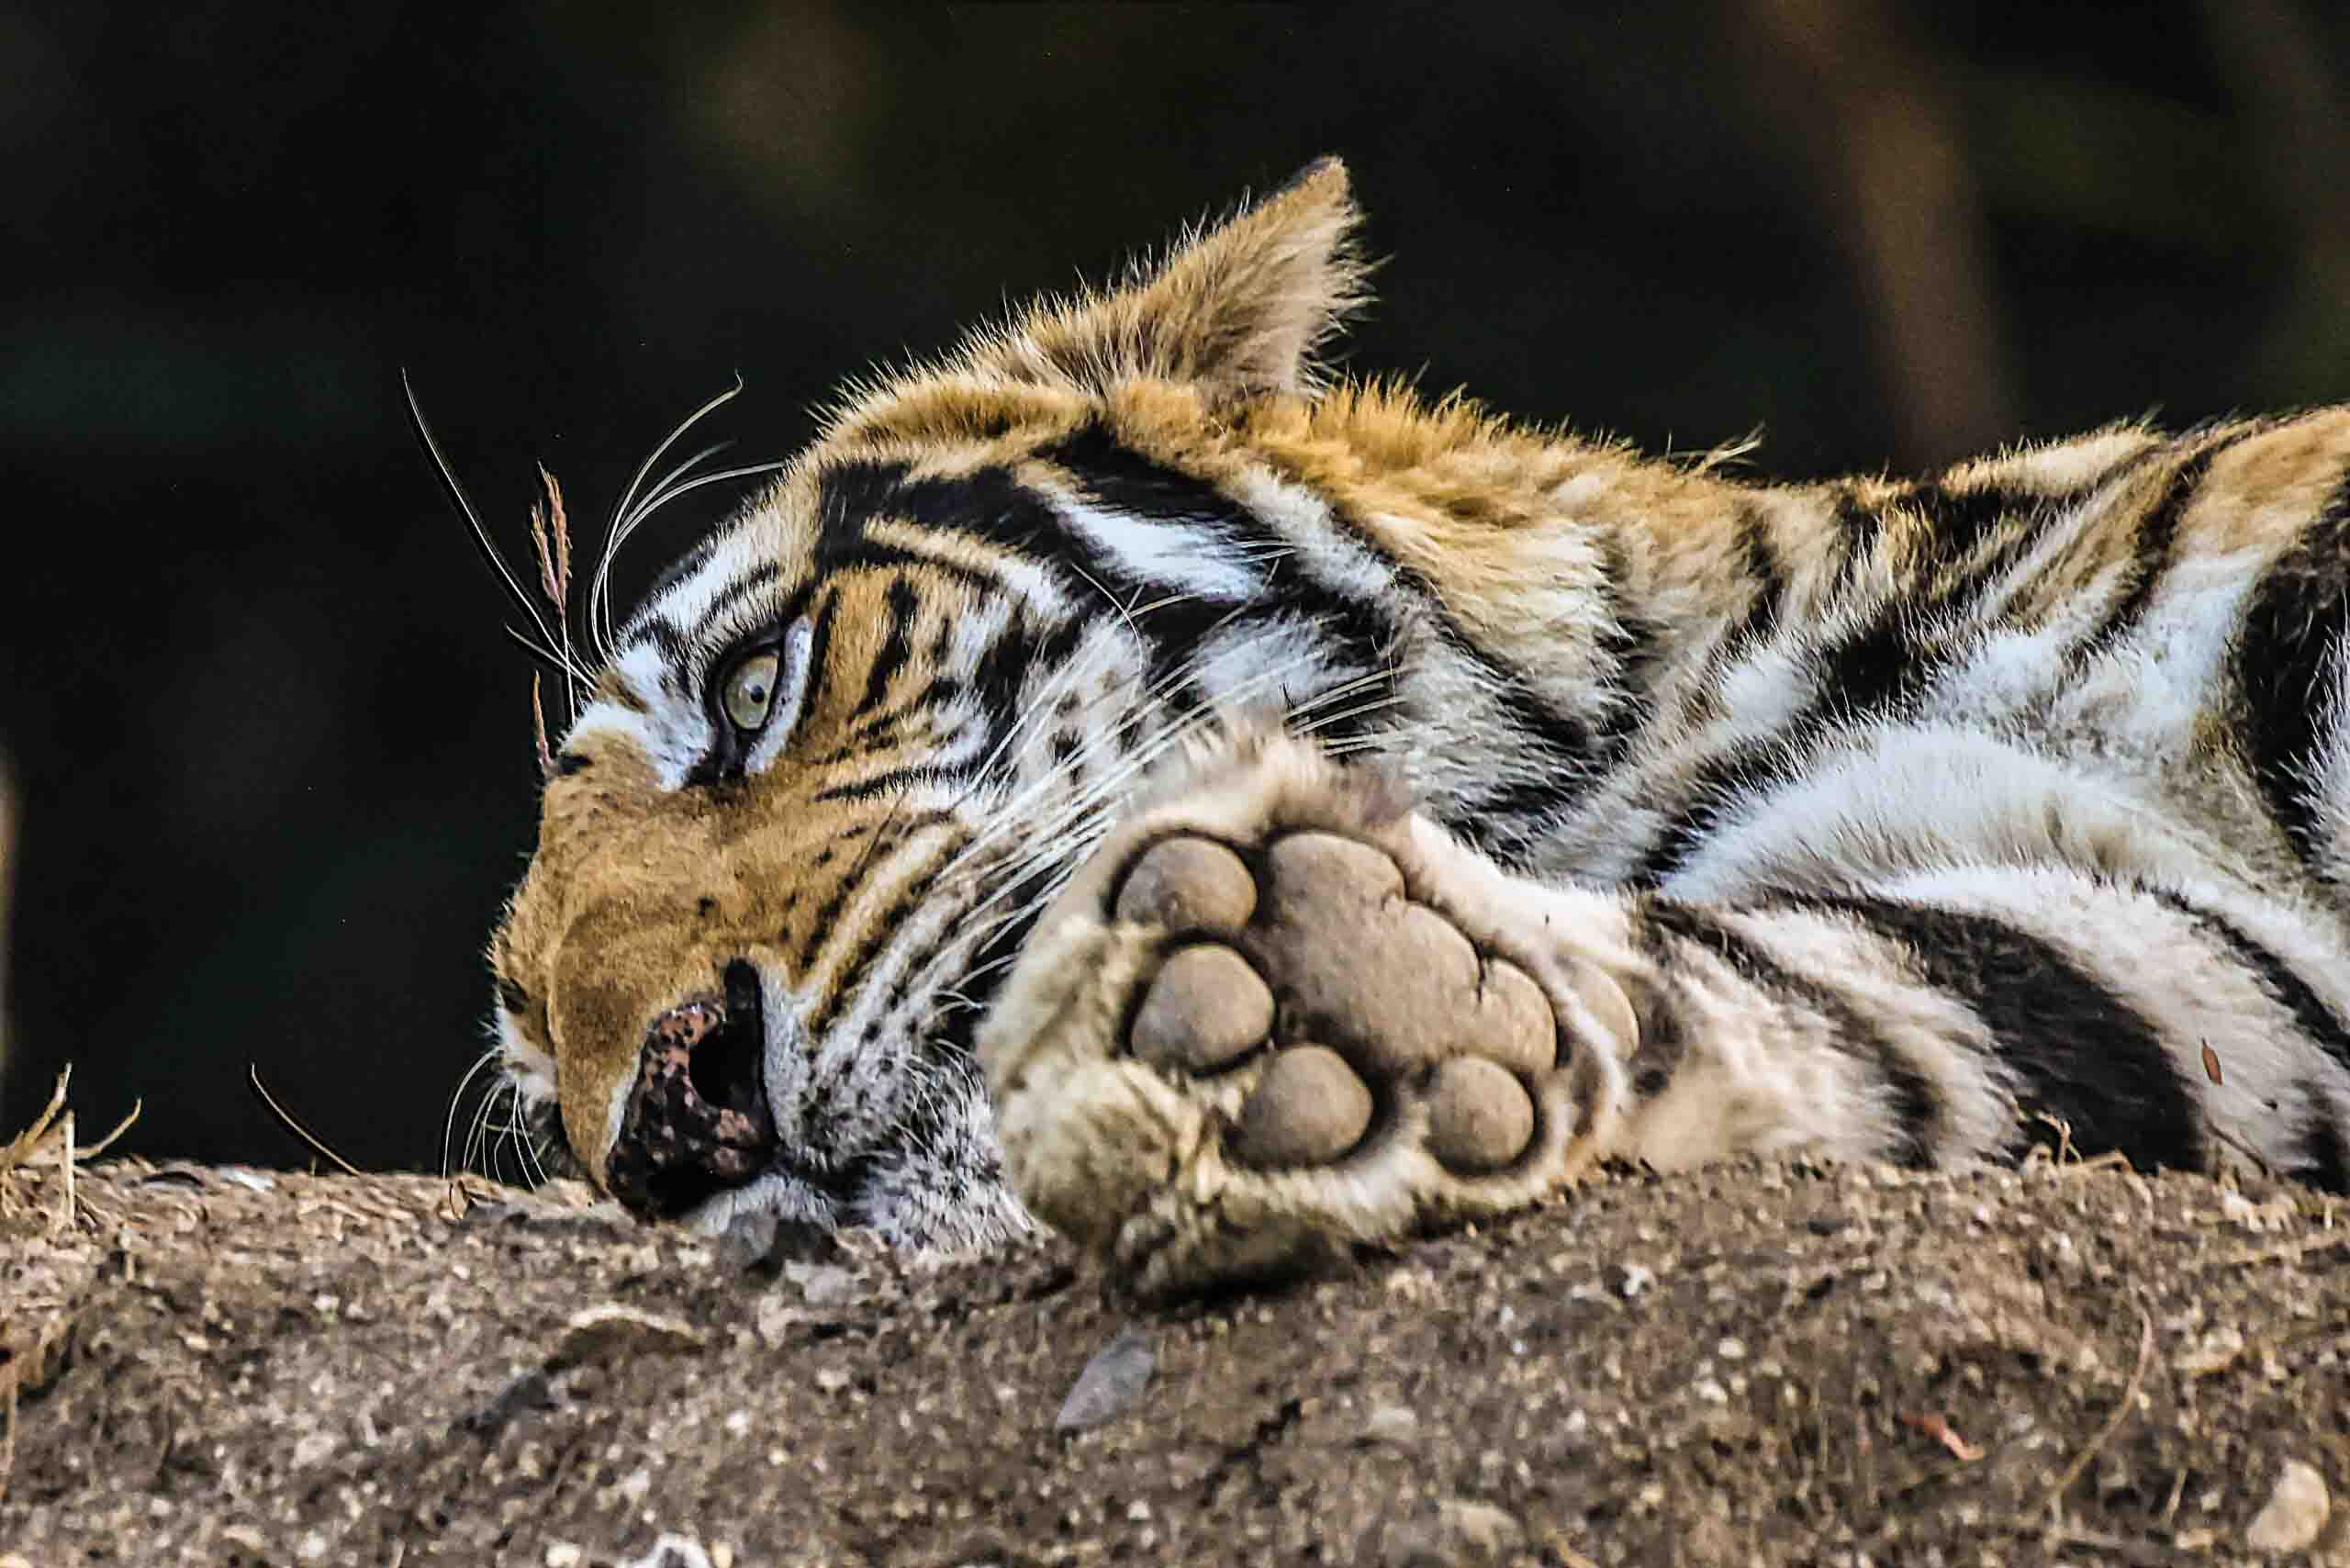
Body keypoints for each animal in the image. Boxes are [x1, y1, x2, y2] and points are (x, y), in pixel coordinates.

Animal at [455, 157, 2350, 1298]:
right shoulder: (2198, 974)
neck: (1710, 706)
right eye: (543, 1076)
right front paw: (1328, 1014)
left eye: (751, 687)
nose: (668, 1131)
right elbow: (1912, 987)